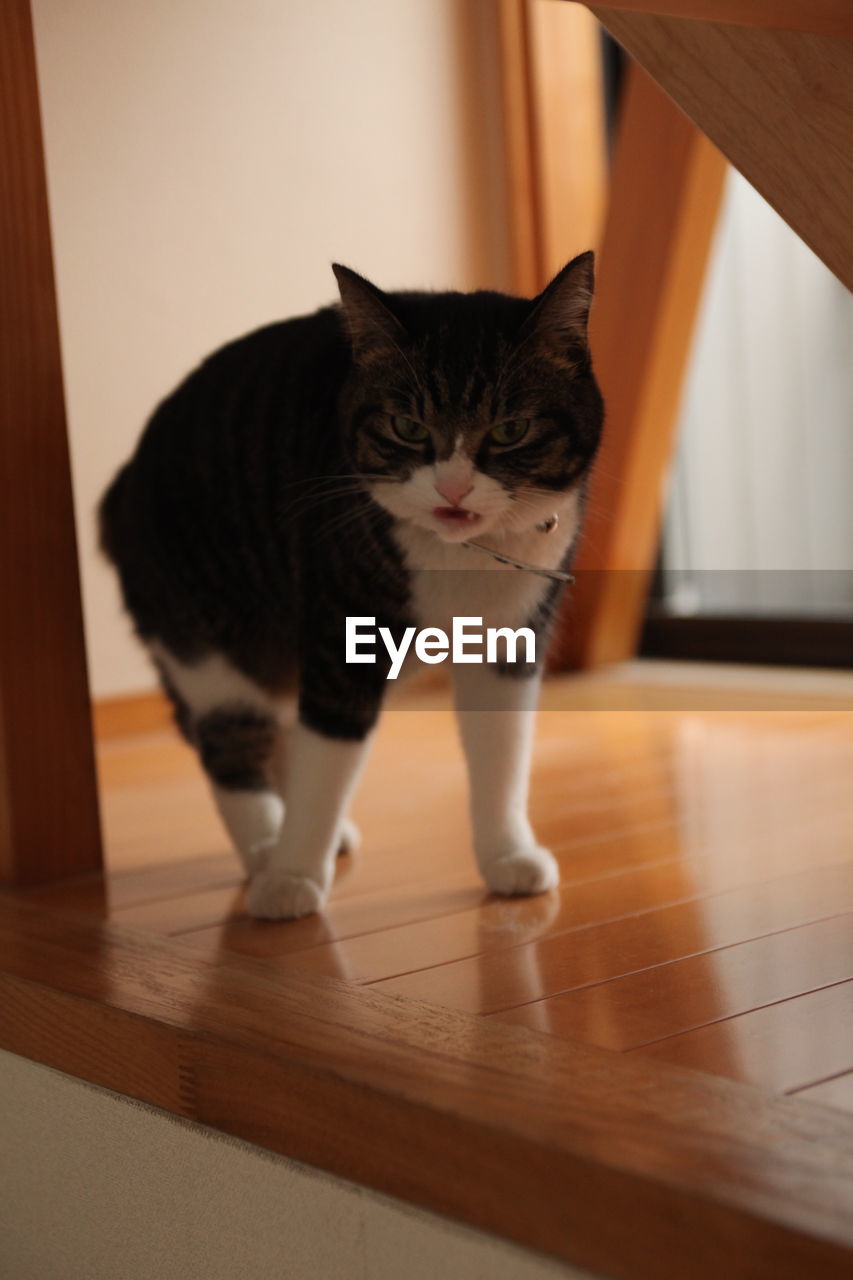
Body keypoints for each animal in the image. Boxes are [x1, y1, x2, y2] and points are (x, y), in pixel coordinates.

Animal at [99, 254, 601, 921]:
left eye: (511, 429)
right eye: (407, 425)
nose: (453, 488)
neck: (458, 558)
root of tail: (120, 484)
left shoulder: (512, 638)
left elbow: (503, 754)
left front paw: (508, 856)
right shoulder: (340, 634)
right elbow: (328, 758)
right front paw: (292, 877)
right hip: (205, 640)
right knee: (232, 741)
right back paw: (266, 847)